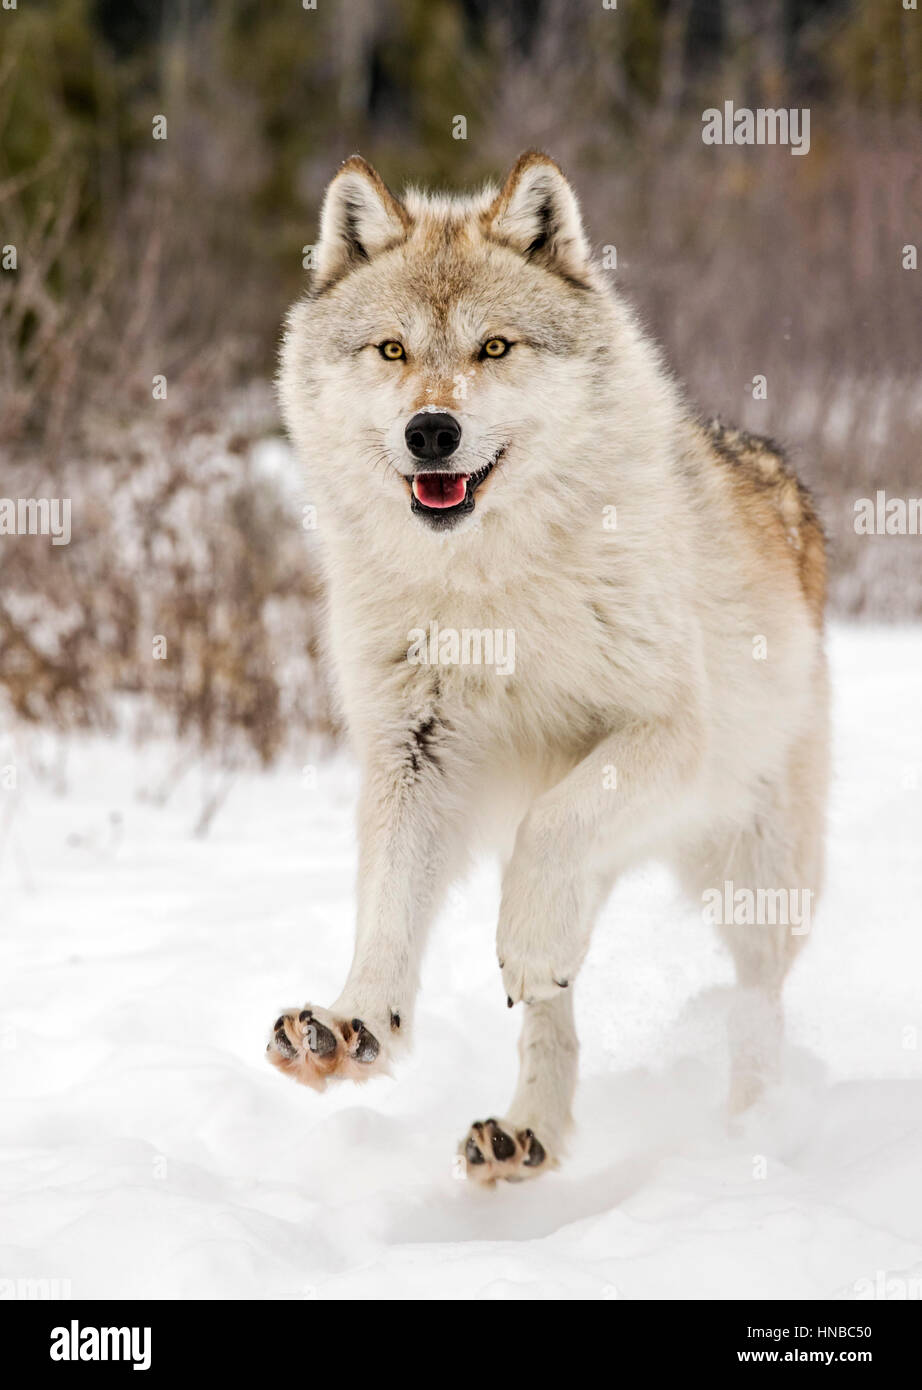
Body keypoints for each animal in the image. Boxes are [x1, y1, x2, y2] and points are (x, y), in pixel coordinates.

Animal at [272, 152, 828, 1183]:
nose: (432, 432)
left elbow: (548, 832)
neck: (487, 584)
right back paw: (524, 1132)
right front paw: (354, 1024)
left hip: (760, 873)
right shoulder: (413, 750)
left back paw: (751, 1131)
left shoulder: (664, 733)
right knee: (558, 1000)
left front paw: (520, 944)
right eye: (391, 351)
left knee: (754, 1001)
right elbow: (388, 909)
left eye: (494, 348)